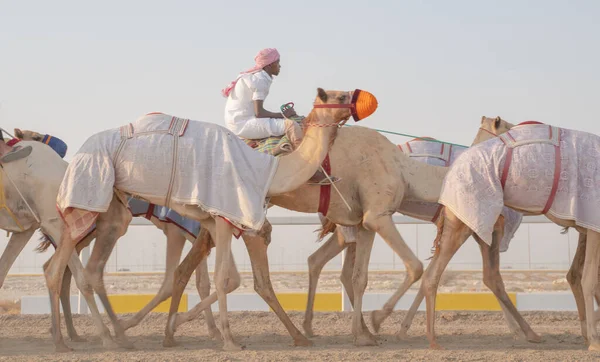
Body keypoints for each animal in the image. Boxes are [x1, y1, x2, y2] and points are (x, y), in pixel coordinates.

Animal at [44, 87, 378, 350]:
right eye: (340, 96)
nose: (364, 99)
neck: (266, 170)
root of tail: (77, 155)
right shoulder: (225, 216)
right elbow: (226, 279)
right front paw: (227, 339)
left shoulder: (216, 221)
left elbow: (222, 278)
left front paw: (181, 328)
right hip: (90, 196)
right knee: (69, 269)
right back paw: (91, 339)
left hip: (111, 211)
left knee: (75, 269)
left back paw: (99, 337)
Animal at [418, 116, 600, 350]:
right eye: (506, 127)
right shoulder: (591, 220)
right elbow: (588, 279)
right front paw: (593, 341)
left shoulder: (586, 226)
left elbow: (581, 276)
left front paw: (589, 335)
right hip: (464, 220)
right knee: (437, 274)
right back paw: (433, 340)